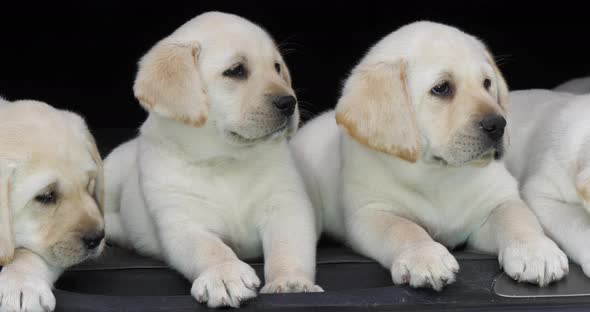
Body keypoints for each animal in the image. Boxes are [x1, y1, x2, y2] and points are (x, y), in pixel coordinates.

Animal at [103, 11, 324, 308]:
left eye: (277, 67)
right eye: (236, 70)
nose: (289, 103)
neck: (226, 158)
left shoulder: (286, 204)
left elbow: (287, 247)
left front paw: (290, 283)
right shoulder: (183, 221)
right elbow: (209, 248)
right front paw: (225, 274)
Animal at [292, 21, 568, 290]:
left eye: (487, 83)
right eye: (442, 88)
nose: (498, 125)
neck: (437, 173)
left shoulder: (498, 200)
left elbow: (517, 217)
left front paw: (536, 251)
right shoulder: (370, 212)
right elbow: (403, 227)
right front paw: (424, 256)